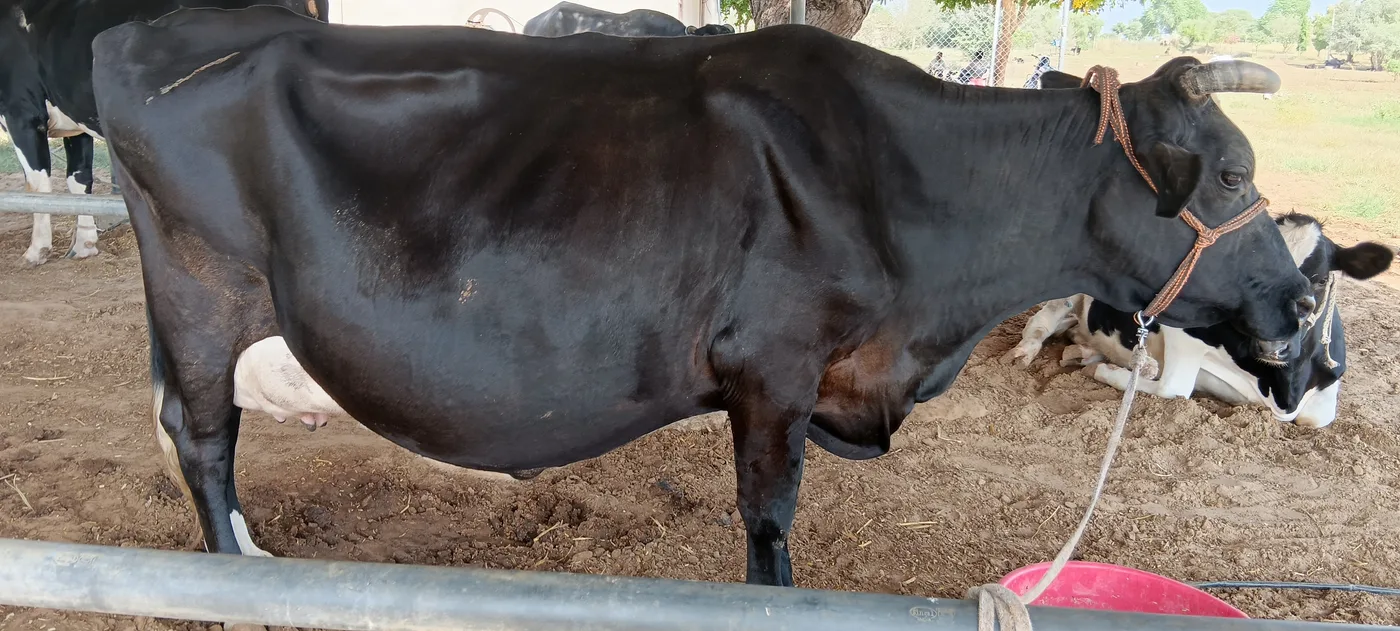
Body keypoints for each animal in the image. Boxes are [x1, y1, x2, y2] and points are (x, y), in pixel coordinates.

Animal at [1, 7, 98, 266]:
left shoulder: (22, 112)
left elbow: (37, 185)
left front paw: (37, 250)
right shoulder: (77, 118)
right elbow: (79, 179)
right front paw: (85, 245)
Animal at [92, 6, 1312, 588]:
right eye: (1234, 174)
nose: (1302, 311)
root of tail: (149, 34)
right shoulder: (772, 369)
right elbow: (768, 526)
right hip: (202, 299)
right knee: (204, 438)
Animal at [1008, 213, 1393, 428]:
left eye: (1318, 280)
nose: (1273, 344)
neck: (1285, 388)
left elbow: (1316, 420)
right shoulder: (1182, 332)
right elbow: (1175, 387)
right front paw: (1112, 372)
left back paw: (1086, 354)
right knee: (1041, 322)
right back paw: (1025, 353)